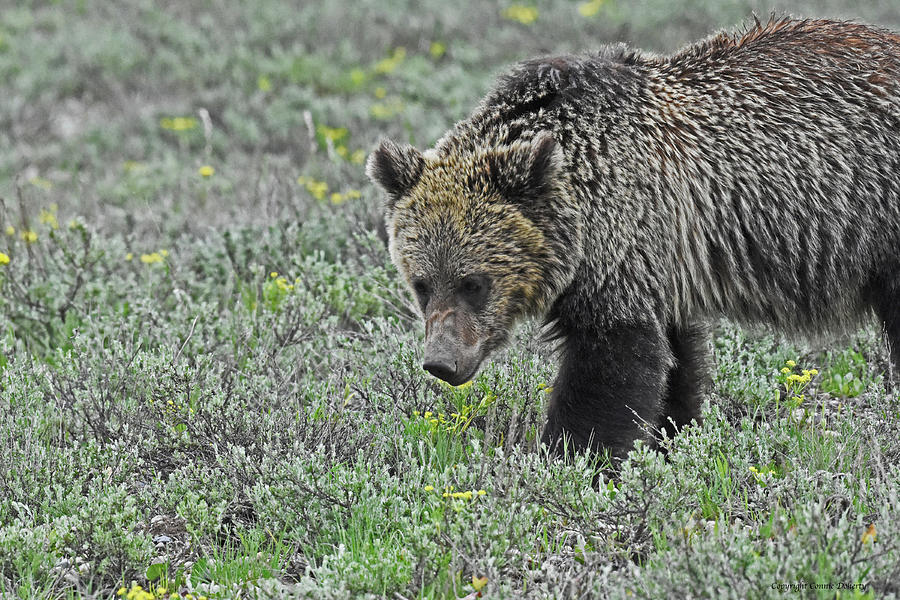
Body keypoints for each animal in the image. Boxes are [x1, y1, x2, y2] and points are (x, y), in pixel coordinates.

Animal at [366, 17, 900, 460]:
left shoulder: (624, 247)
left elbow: (612, 365)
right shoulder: (663, 259)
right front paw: (671, 437)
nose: (441, 362)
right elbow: (678, 360)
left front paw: (572, 459)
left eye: (473, 283)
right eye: (421, 284)